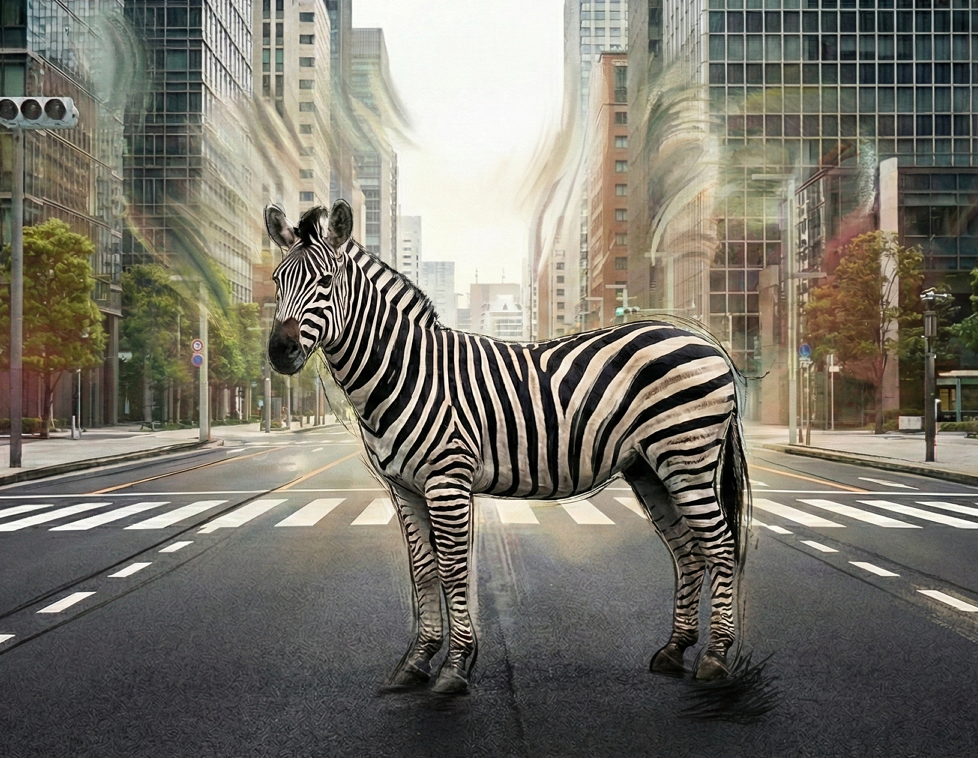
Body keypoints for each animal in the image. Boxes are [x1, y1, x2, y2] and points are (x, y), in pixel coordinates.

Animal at [265, 199, 751, 695]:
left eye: (326, 281)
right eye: (277, 281)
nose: (280, 352)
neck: (405, 371)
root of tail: (704, 340)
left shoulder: (447, 481)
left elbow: (452, 568)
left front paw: (456, 665)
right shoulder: (404, 488)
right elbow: (422, 570)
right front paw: (416, 661)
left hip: (687, 456)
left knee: (720, 545)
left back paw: (715, 657)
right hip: (650, 467)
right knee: (687, 549)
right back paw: (674, 649)